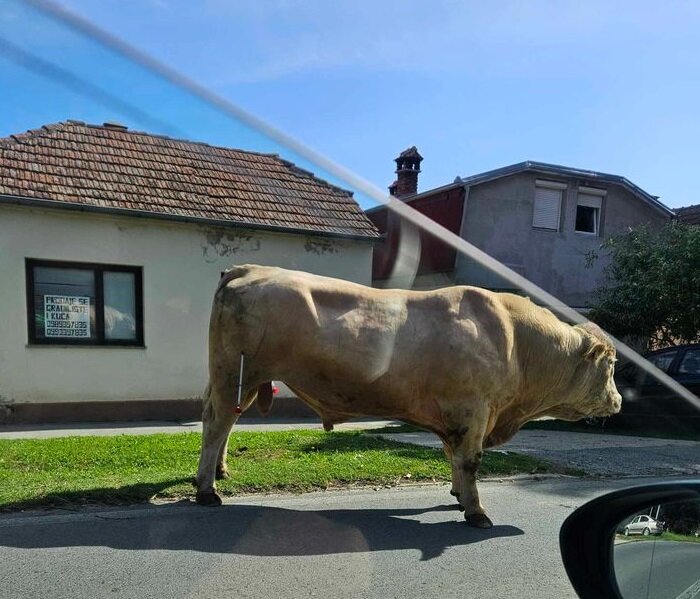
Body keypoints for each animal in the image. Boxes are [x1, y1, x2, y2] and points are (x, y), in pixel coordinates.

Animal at [194, 264, 620, 528]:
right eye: (613, 365)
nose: (618, 402)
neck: (515, 339)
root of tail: (249, 269)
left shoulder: (457, 414)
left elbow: (454, 456)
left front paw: (458, 496)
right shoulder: (474, 408)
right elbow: (470, 460)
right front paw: (476, 512)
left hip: (239, 379)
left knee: (221, 420)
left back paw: (219, 474)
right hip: (237, 372)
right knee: (217, 424)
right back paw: (206, 491)